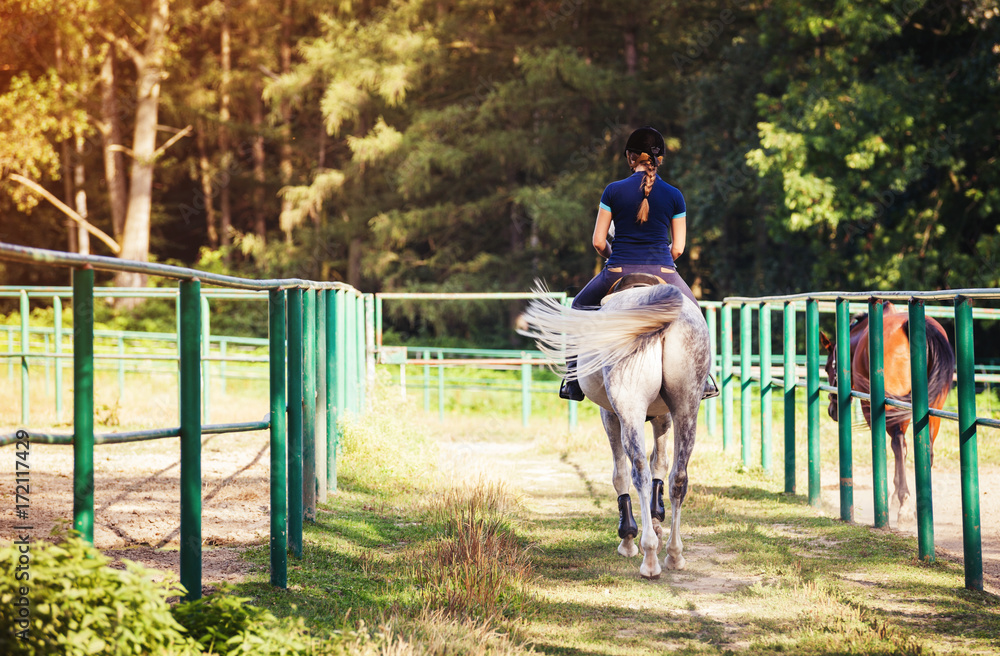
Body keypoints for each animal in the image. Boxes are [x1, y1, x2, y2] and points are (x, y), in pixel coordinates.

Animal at [516, 278, 712, 580]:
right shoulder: (663, 415)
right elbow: (661, 464)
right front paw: (656, 518)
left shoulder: (610, 415)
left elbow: (620, 474)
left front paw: (629, 537)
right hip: (687, 406)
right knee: (678, 476)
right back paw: (674, 554)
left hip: (629, 409)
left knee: (638, 471)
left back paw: (649, 557)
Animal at [824, 302, 956, 524]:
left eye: (827, 369)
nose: (831, 410)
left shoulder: (872, 410)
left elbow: (892, 448)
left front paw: (895, 496)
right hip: (933, 409)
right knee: (926, 449)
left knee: (898, 444)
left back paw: (905, 503)